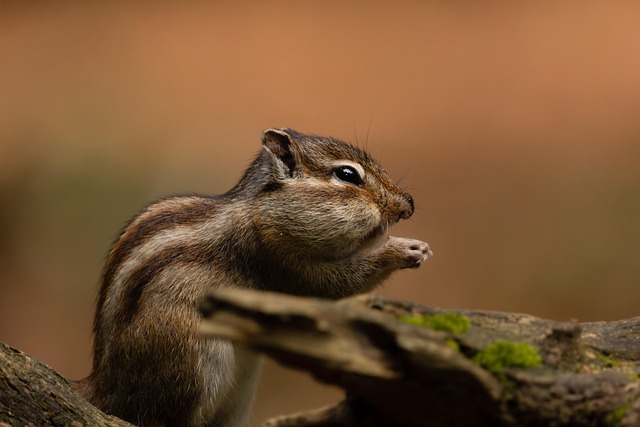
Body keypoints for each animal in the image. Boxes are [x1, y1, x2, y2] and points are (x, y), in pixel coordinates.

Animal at [75, 128, 432, 427]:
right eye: (347, 175)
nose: (409, 206)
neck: (260, 209)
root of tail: (106, 388)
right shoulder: (276, 256)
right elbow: (331, 285)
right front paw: (403, 248)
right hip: (190, 362)